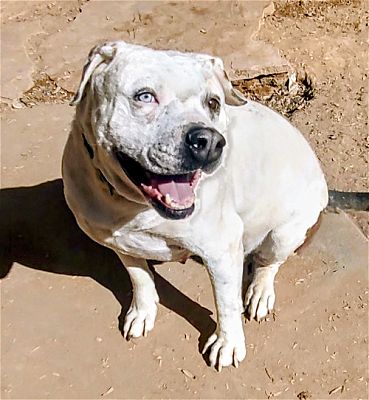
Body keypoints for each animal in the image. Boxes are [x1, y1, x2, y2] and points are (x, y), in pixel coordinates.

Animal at [62, 41, 328, 372]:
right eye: (144, 96)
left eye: (213, 103)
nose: (211, 141)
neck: (132, 207)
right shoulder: (118, 242)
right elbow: (139, 276)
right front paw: (143, 311)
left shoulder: (221, 248)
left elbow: (226, 304)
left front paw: (228, 343)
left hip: (284, 232)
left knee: (269, 262)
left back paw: (260, 292)